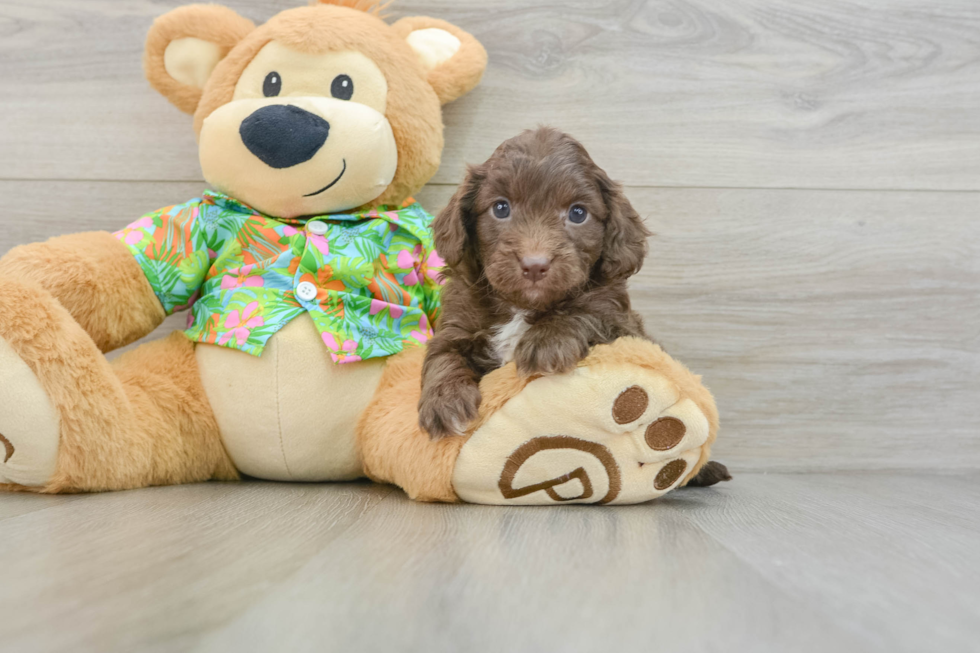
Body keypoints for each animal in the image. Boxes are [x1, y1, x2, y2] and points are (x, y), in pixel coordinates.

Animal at [420, 126, 652, 444]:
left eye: (578, 213)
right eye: (501, 208)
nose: (534, 264)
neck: (520, 306)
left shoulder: (619, 320)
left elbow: (587, 313)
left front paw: (548, 340)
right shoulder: (456, 321)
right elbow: (442, 353)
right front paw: (444, 401)